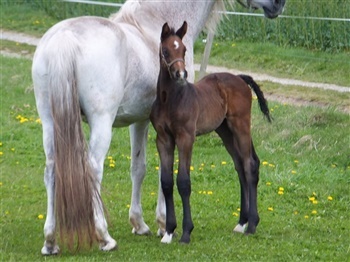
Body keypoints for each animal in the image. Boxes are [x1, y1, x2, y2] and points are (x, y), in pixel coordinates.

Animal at [31, 0, 286, 255]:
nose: (278, 5)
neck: (152, 23)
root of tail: (63, 39)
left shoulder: (139, 120)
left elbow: (139, 168)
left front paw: (139, 224)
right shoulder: (165, 129)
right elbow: (164, 173)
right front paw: (164, 226)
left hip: (50, 121)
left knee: (51, 169)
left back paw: (50, 241)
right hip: (101, 122)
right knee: (93, 170)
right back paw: (105, 237)